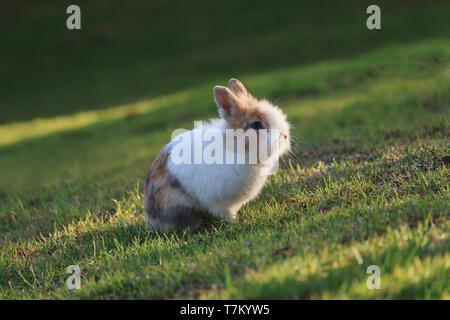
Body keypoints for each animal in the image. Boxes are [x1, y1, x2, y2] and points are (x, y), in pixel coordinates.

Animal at [145, 77, 292, 232]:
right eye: (256, 125)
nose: (285, 136)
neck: (237, 148)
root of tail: (151, 220)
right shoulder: (222, 202)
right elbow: (227, 213)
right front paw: (235, 223)